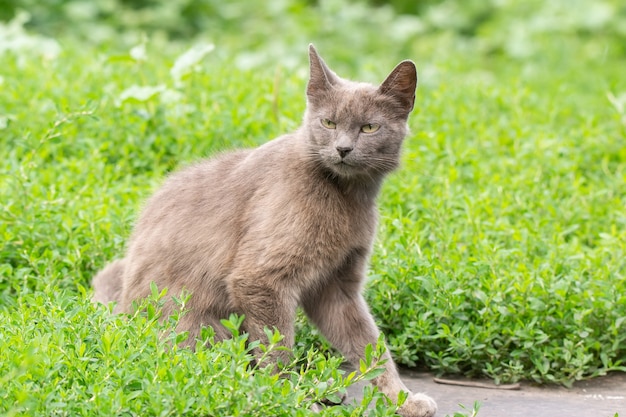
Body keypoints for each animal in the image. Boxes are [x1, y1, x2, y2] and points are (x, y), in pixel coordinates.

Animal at [94, 45, 434, 416]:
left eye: (370, 127)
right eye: (328, 122)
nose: (343, 148)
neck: (347, 197)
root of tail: (121, 317)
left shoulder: (337, 286)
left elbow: (369, 343)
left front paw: (402, 399)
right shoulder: (261, 279)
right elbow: (278, 347)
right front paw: (286, 399)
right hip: (205, 328)